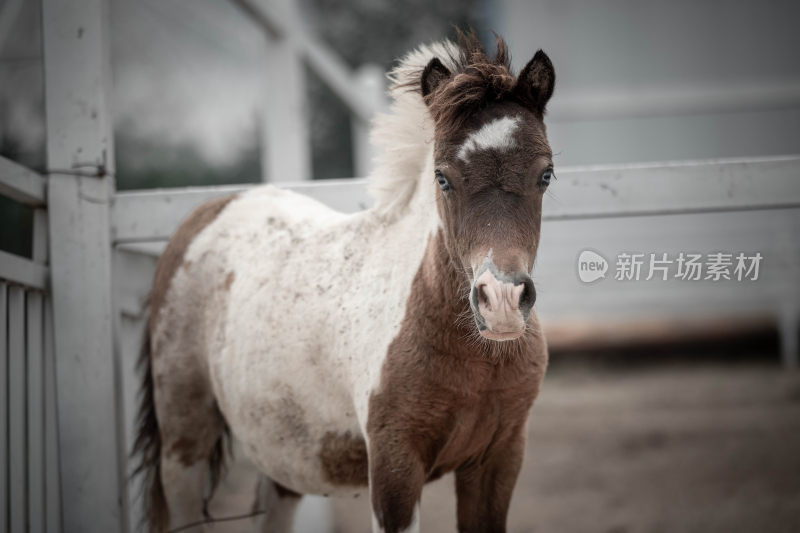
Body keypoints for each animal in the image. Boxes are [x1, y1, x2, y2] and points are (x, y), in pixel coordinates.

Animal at [133, 33, 556, 532]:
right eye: (442, 178)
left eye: (545, 174)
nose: (502, 301)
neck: (475, 359)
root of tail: (208, 211)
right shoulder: (394, 463)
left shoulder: (500, 457)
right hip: (184, 443)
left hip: (285, 456)